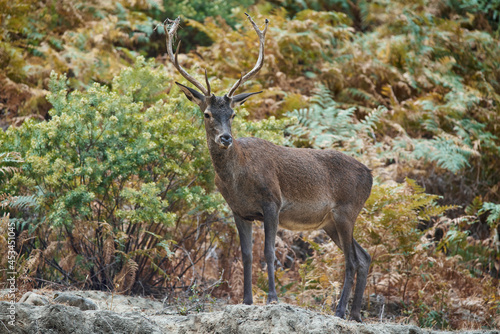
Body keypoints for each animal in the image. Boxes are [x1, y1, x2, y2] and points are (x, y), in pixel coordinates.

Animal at [164, 14, 372, 322]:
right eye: (207, 114)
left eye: (233, 114)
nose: (225, 138)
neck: (238, 179)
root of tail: (371, 175)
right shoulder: (240, 211)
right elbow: (246, 255)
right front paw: (247, 300)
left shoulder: (272, 201)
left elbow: (269, 252)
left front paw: (272, 298)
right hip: (330, 222)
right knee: (364, 257)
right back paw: (356, 313)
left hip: (347, 210)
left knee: (350, 260)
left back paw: (340, 310)